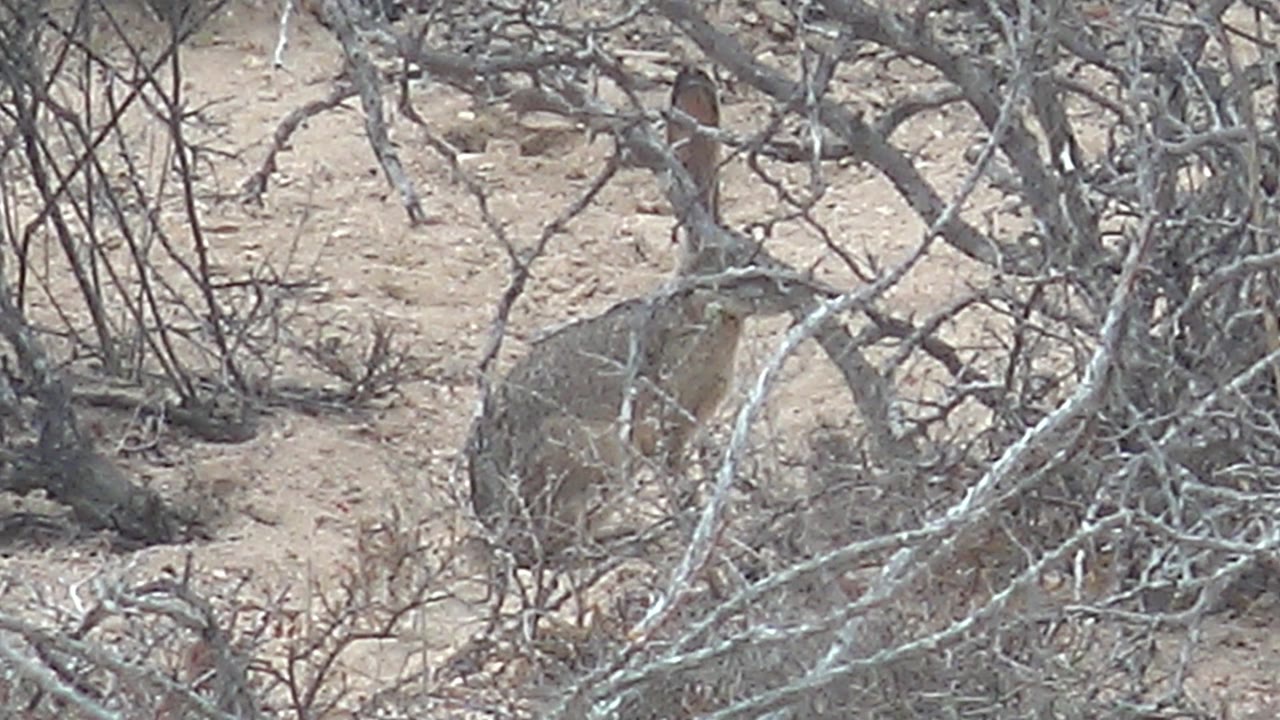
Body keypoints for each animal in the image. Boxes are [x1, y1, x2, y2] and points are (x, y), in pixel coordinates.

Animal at [467, 67, 785, 566]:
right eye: (742, 264)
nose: (786, 292)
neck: (696, 308)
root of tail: (493, 519)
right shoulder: (665, 423)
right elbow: (676, 475)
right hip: (592, 457)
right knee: (558, 546)